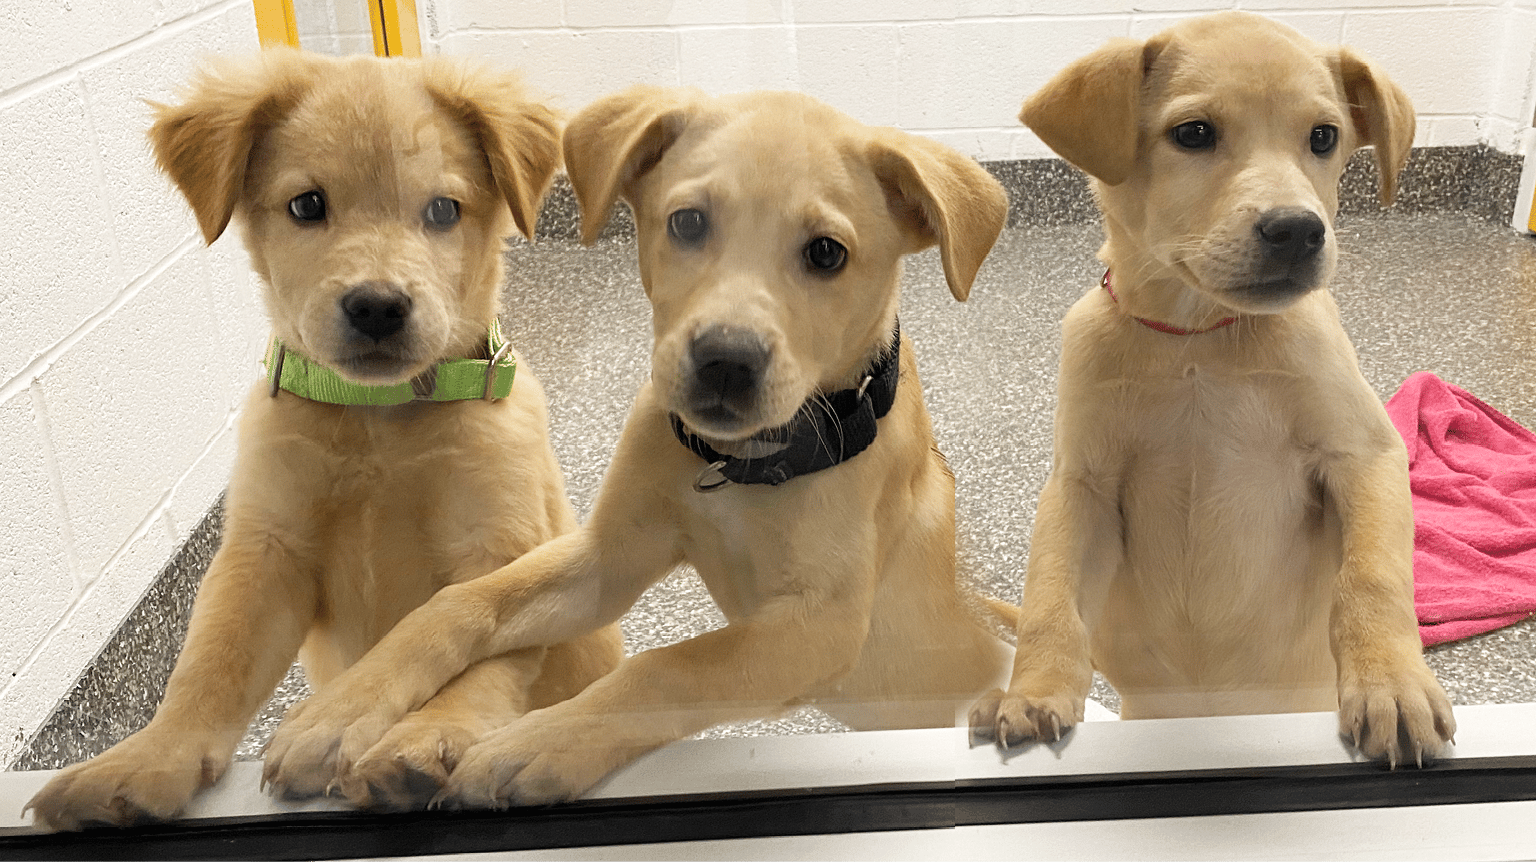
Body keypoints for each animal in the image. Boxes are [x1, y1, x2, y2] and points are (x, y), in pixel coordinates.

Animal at [25, 48, 623, 830]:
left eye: (443, 210)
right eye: (308, 205)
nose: (377, 307)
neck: (378, 421)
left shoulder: (501, 545)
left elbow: (478, 651)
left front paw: (429, 735)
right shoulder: (267, 552)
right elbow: (210, 664)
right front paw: (145, 759)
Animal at [258, 84, 1013, 805]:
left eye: (827, 252)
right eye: (687, 222)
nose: (725, 361)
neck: (735, 466)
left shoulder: (821, 623)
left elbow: (670, 667)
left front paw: (535, 743)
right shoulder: (610, 557)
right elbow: (462, 602)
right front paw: (340, 712)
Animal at [970, 11, 1449, 765]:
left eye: (1324, 137)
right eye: (1193, 134)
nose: (1298, 230)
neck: (1198, 336)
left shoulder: (1364, 454)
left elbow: (1371, 580)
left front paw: (1392, 686)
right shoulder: (1082, 485)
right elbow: (1050, 597)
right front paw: (1034, 691)